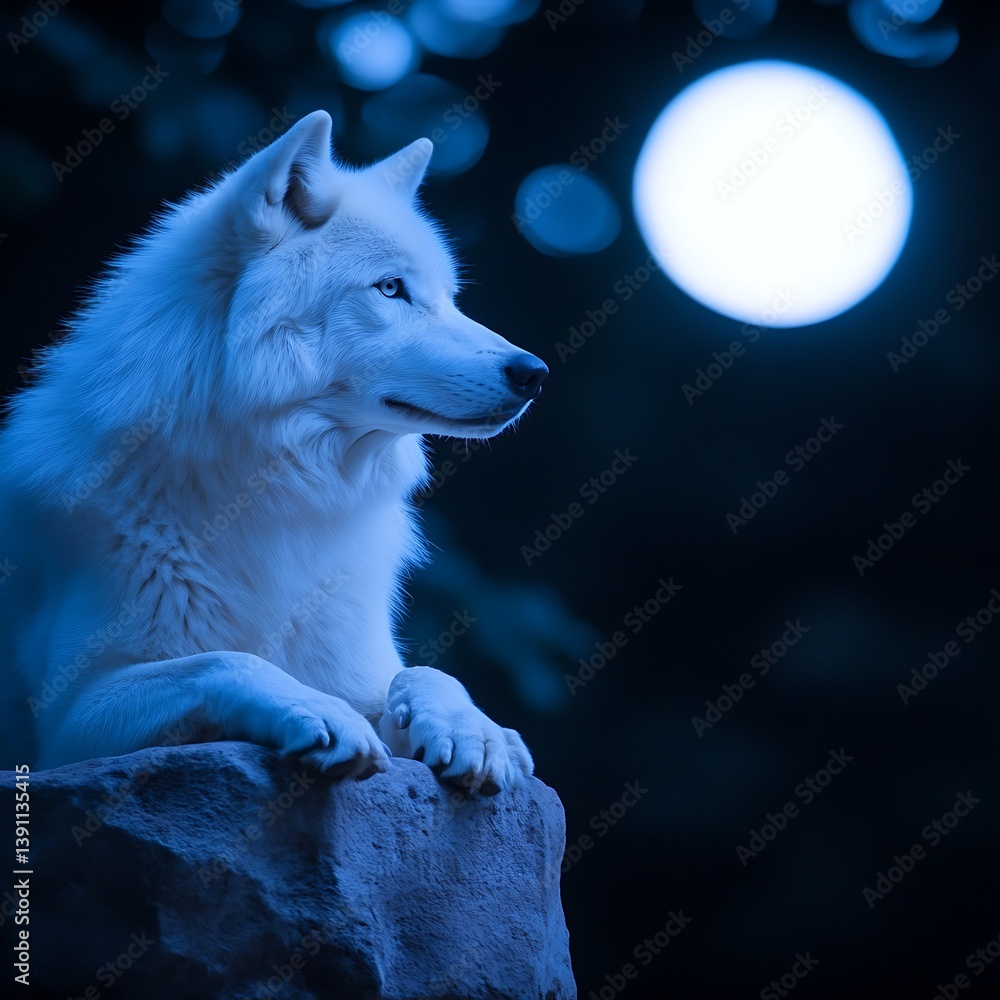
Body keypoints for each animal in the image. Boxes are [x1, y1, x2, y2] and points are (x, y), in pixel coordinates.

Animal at [0, 110, 548, 794]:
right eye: (391, 288)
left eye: (449, 297)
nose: (535, 373)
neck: (282, 501)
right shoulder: (68, 723)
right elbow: (223, 661)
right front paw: (317, 713)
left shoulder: (360, 665)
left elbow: (427, 672)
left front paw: (475, 729)